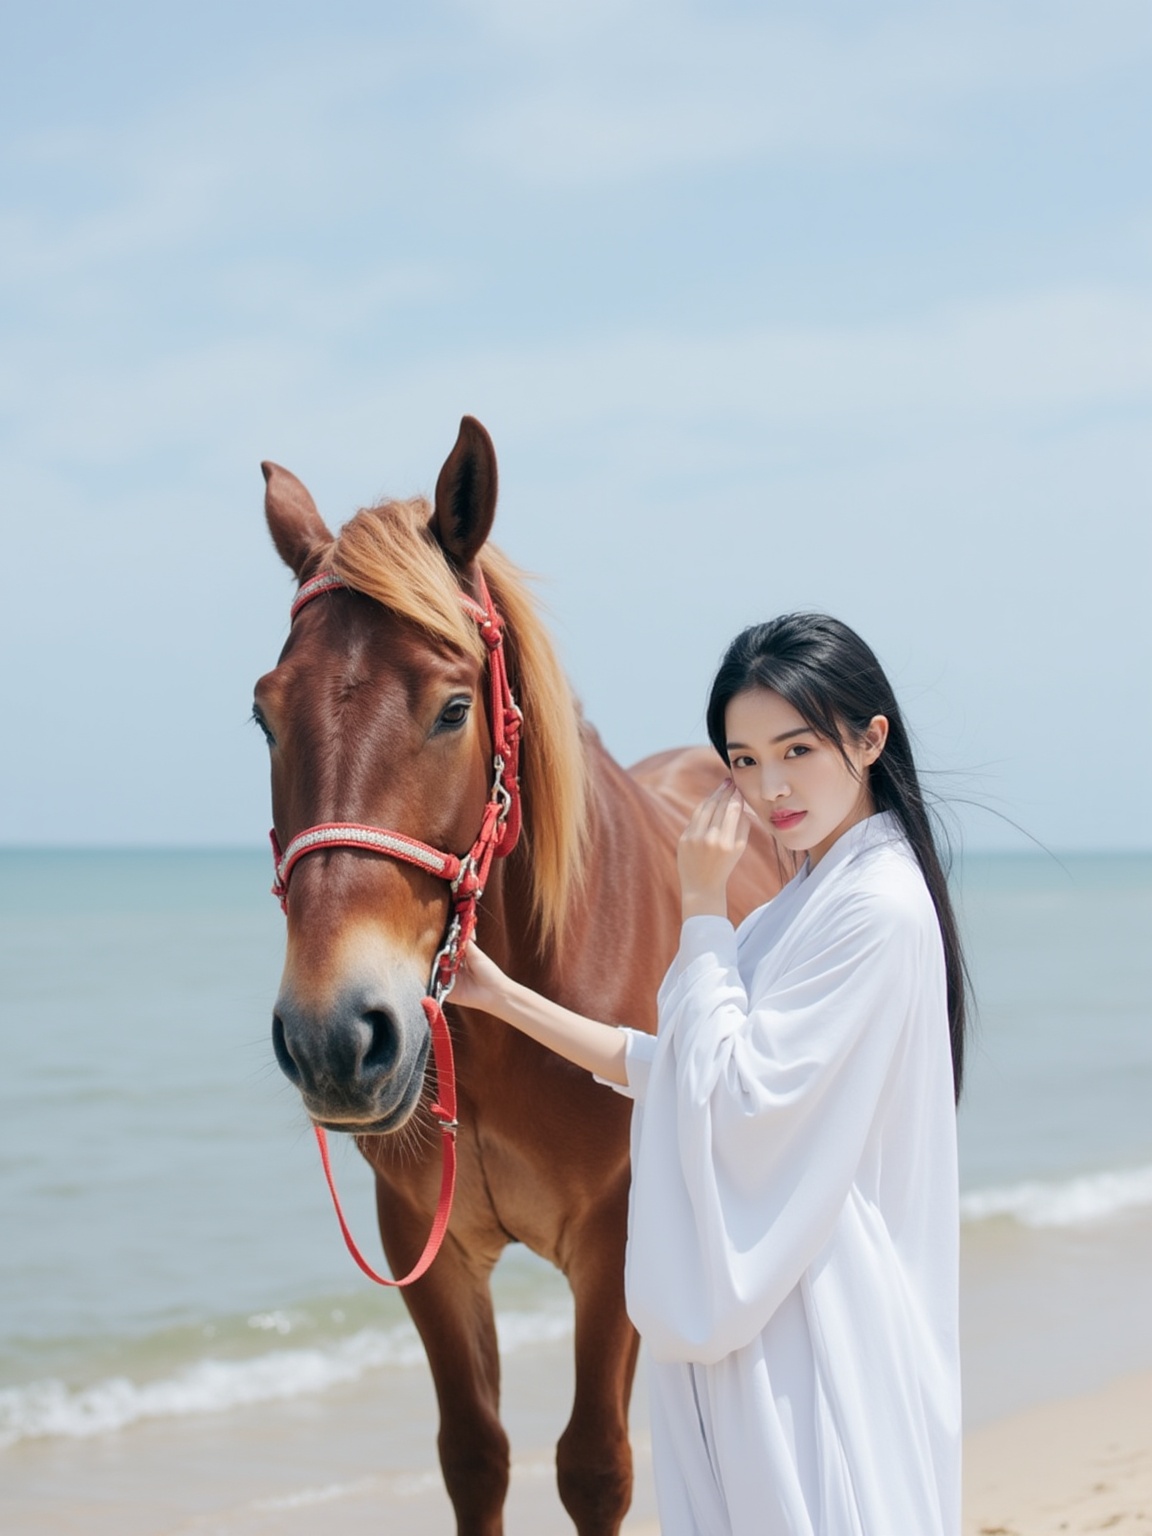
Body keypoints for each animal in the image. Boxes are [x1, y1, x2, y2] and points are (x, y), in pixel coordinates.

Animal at [254, 417, 789, 1535]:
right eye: (264, 717)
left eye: (454, 708)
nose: (334, 1036)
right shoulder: (427, 1246)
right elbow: (475, 1455)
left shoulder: (615, 1239)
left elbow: (594, 1465)